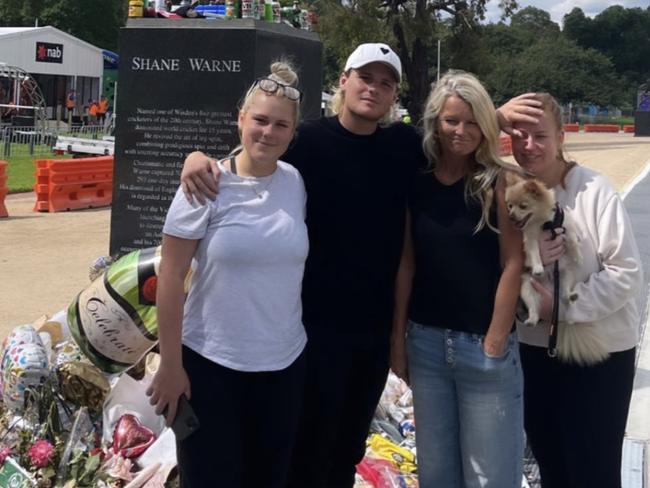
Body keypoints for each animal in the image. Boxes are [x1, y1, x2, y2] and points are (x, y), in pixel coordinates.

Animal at [502, 173, 608, 366]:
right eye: (509, 205)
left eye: (523, 206)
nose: (511, 217)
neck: (542, 223)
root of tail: (552, 292)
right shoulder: (531, 239)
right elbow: (535, 253)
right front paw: (538, 267)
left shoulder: (565, 226)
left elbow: (572, 240)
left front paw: (577, 256)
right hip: (527, 288)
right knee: (534, 309)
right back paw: (531, 320)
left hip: (566, 277)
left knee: (565, 295)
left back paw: (571, 296)